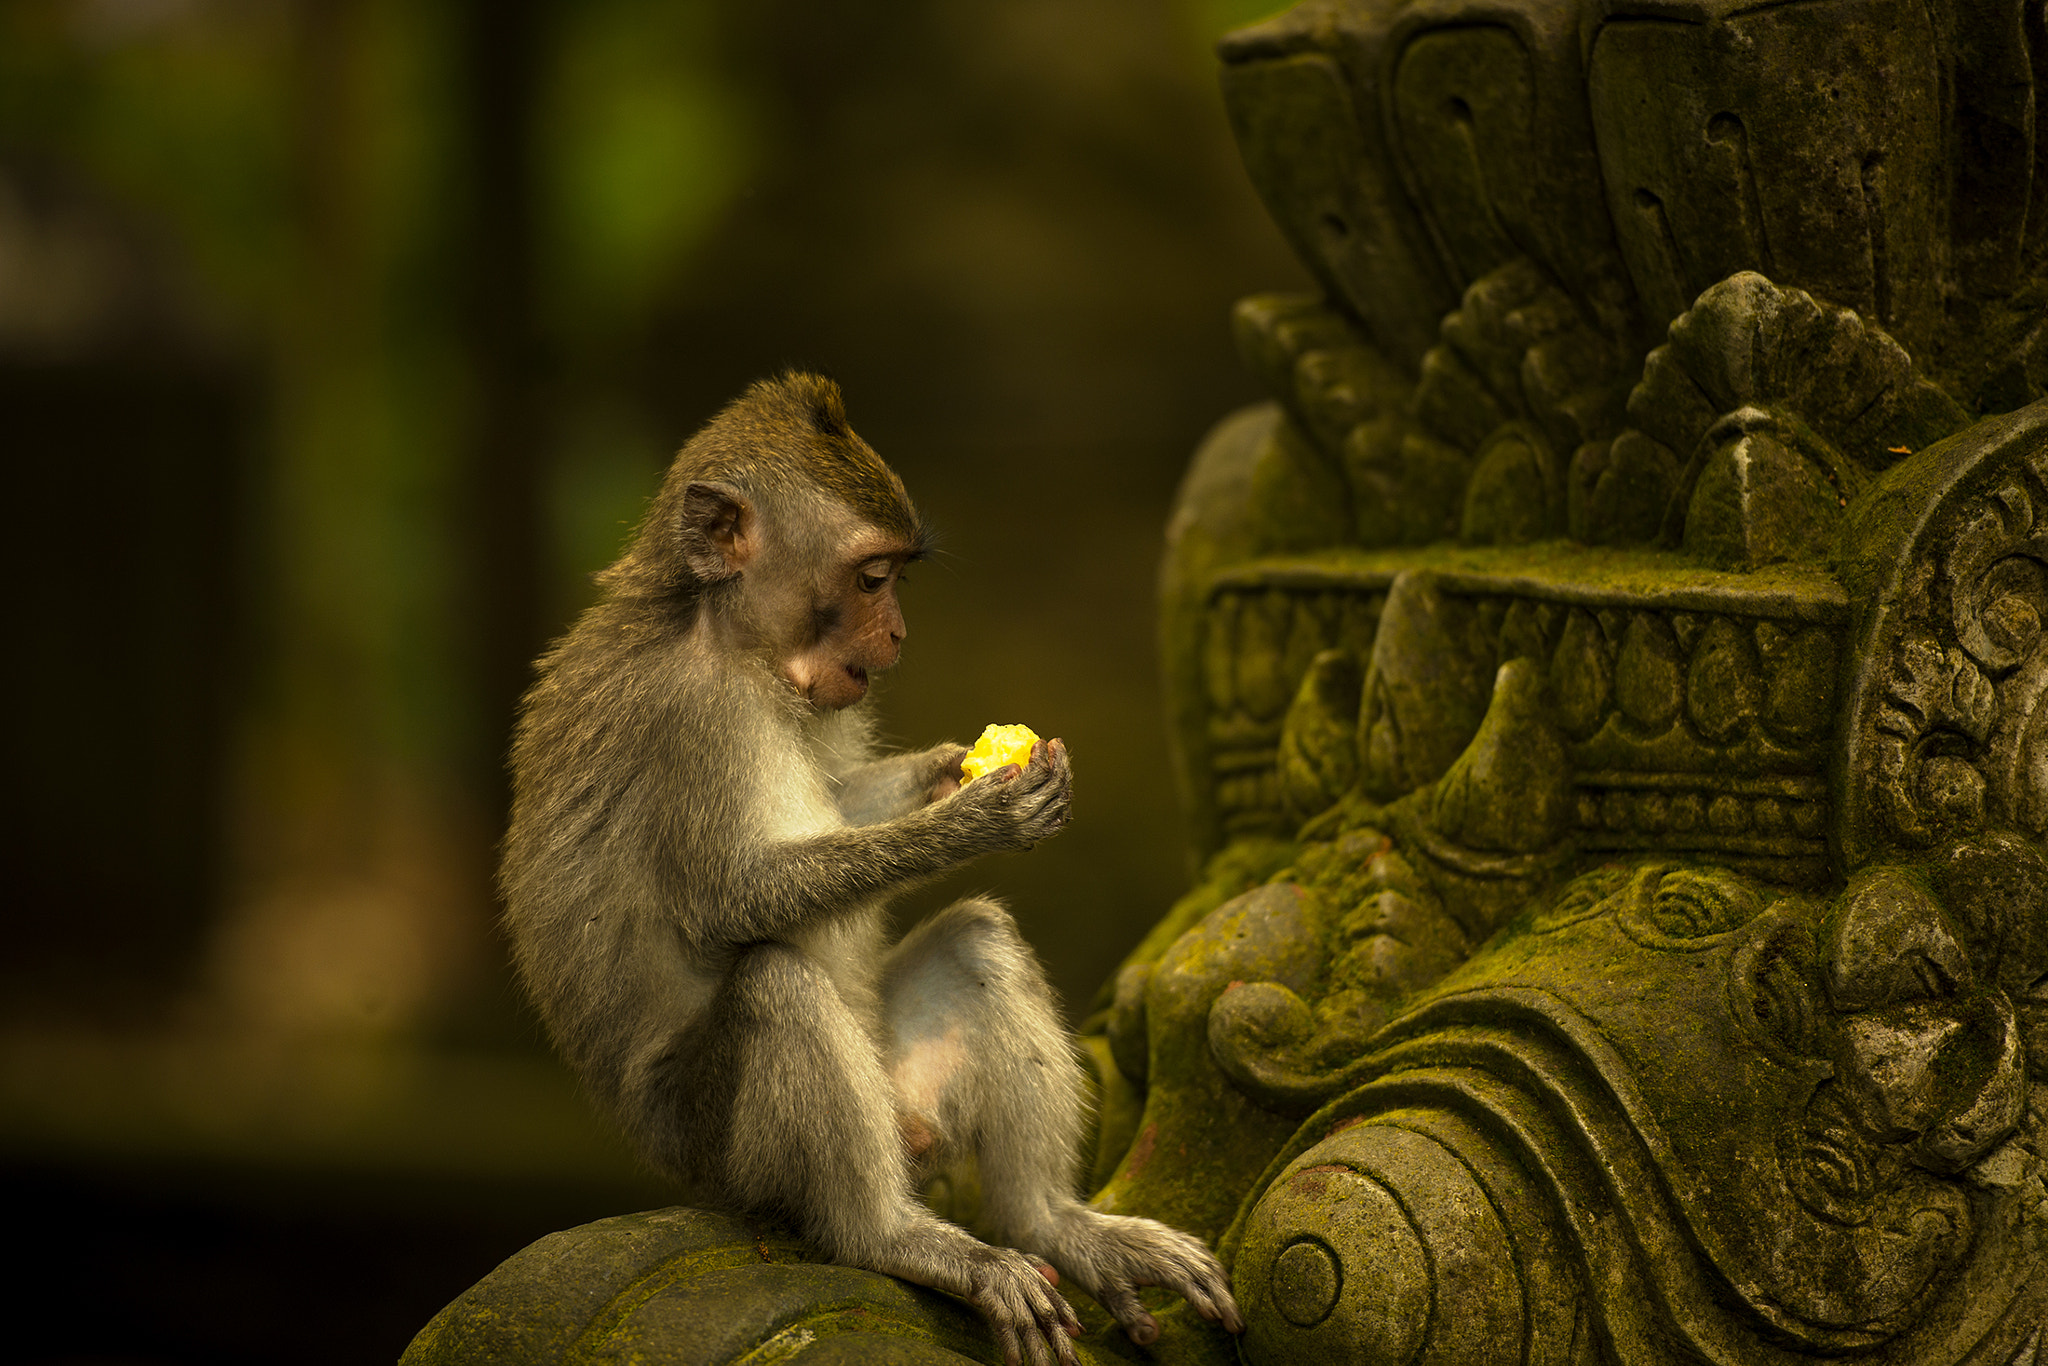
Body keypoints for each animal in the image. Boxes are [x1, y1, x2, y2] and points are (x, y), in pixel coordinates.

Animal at [500, 373, 1242, 1366]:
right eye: (871, 577)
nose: (897, 634)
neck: (722, 633)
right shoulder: (688, 717)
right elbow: (730, 900)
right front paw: (974, 818)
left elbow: (841, 806)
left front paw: (953, 769)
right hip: (731, 1155)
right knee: (777, 985)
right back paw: (888, 1237)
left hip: (907, 1085)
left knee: (978, 939)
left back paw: (1052, 1225)